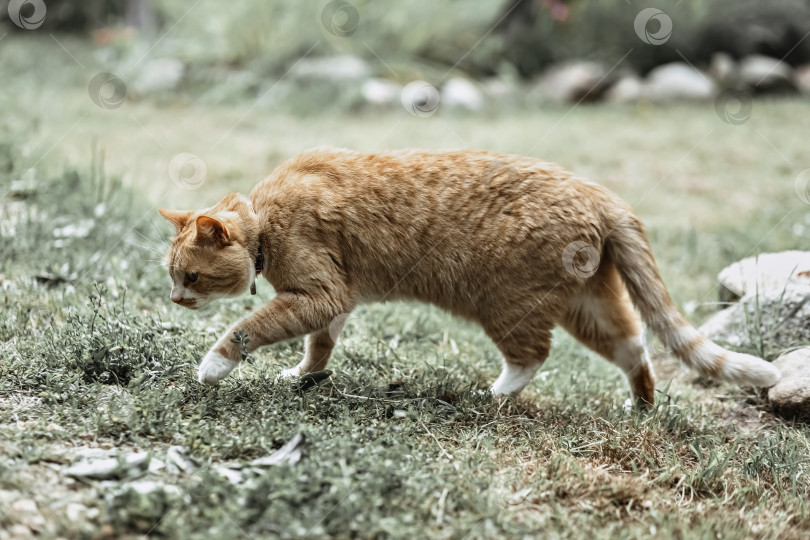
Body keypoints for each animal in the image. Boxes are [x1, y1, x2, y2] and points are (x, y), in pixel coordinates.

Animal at [159, 148, 776, 404]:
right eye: (175, 276)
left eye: (191, 277)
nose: (173, 300)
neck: (266, 219)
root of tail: (599, 193)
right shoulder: (333, 301)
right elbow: (319, 345)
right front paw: (304, 375)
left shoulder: (319, 293)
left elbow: (249, 327)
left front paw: (212, 366)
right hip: (588, 305)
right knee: (635, 345)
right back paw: (640, 407)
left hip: (505, 302)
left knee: (534, 355)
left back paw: (494, 394)